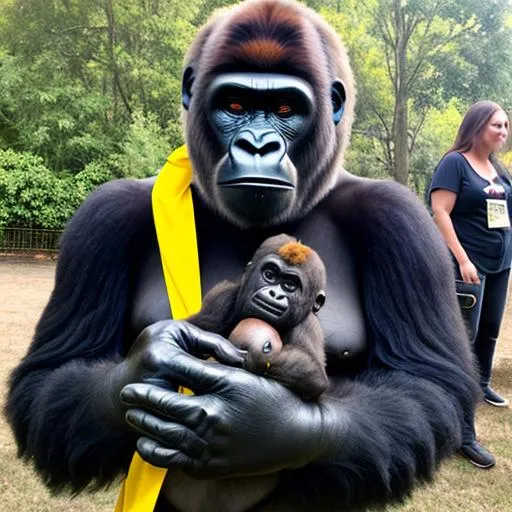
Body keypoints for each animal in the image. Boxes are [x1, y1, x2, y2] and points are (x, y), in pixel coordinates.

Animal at [188, 234, 328, 402]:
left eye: (289, 285)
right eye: (269, 275)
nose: (275, 294)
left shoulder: (307, 325)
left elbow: (313, 373)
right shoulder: (221, 298)